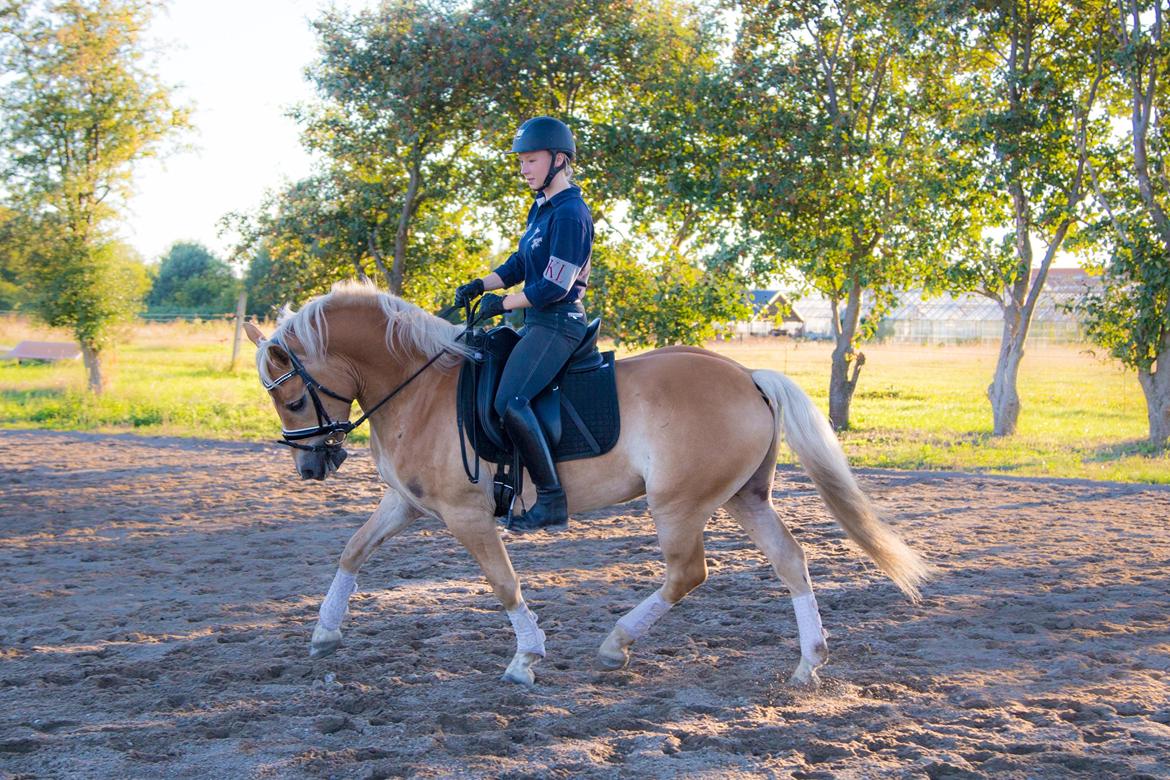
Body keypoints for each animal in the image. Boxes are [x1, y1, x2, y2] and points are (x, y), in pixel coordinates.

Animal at [246, 280, 931, 687]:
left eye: (292, 399)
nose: (311, 467)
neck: (421, 387)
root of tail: (748, 376)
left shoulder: (466, 515)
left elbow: (503, 584)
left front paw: (526, 657)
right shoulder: (406, 504)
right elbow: (352, 551)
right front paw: (325, 632)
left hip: (678, 505)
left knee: (688, 573)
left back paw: (615, 644)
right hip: (744, 498)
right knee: (791, 560)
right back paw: (808, 663)